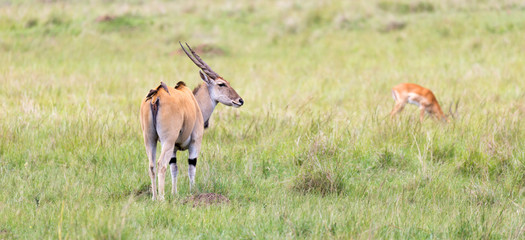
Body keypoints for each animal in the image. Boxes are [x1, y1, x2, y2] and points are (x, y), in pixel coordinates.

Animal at [140, 42, 245, 200]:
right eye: (221, 84)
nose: (240, 100)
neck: (193, 102)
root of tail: (156, 96)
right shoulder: (195, 142)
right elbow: (191, 166)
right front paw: (193, 192)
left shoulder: (174, 149)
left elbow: (174, 168)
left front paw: (175, 193)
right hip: (166, 141)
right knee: (161, 164)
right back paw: (162, 198)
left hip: (150, 140)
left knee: (151, 165)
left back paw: (154, 197)